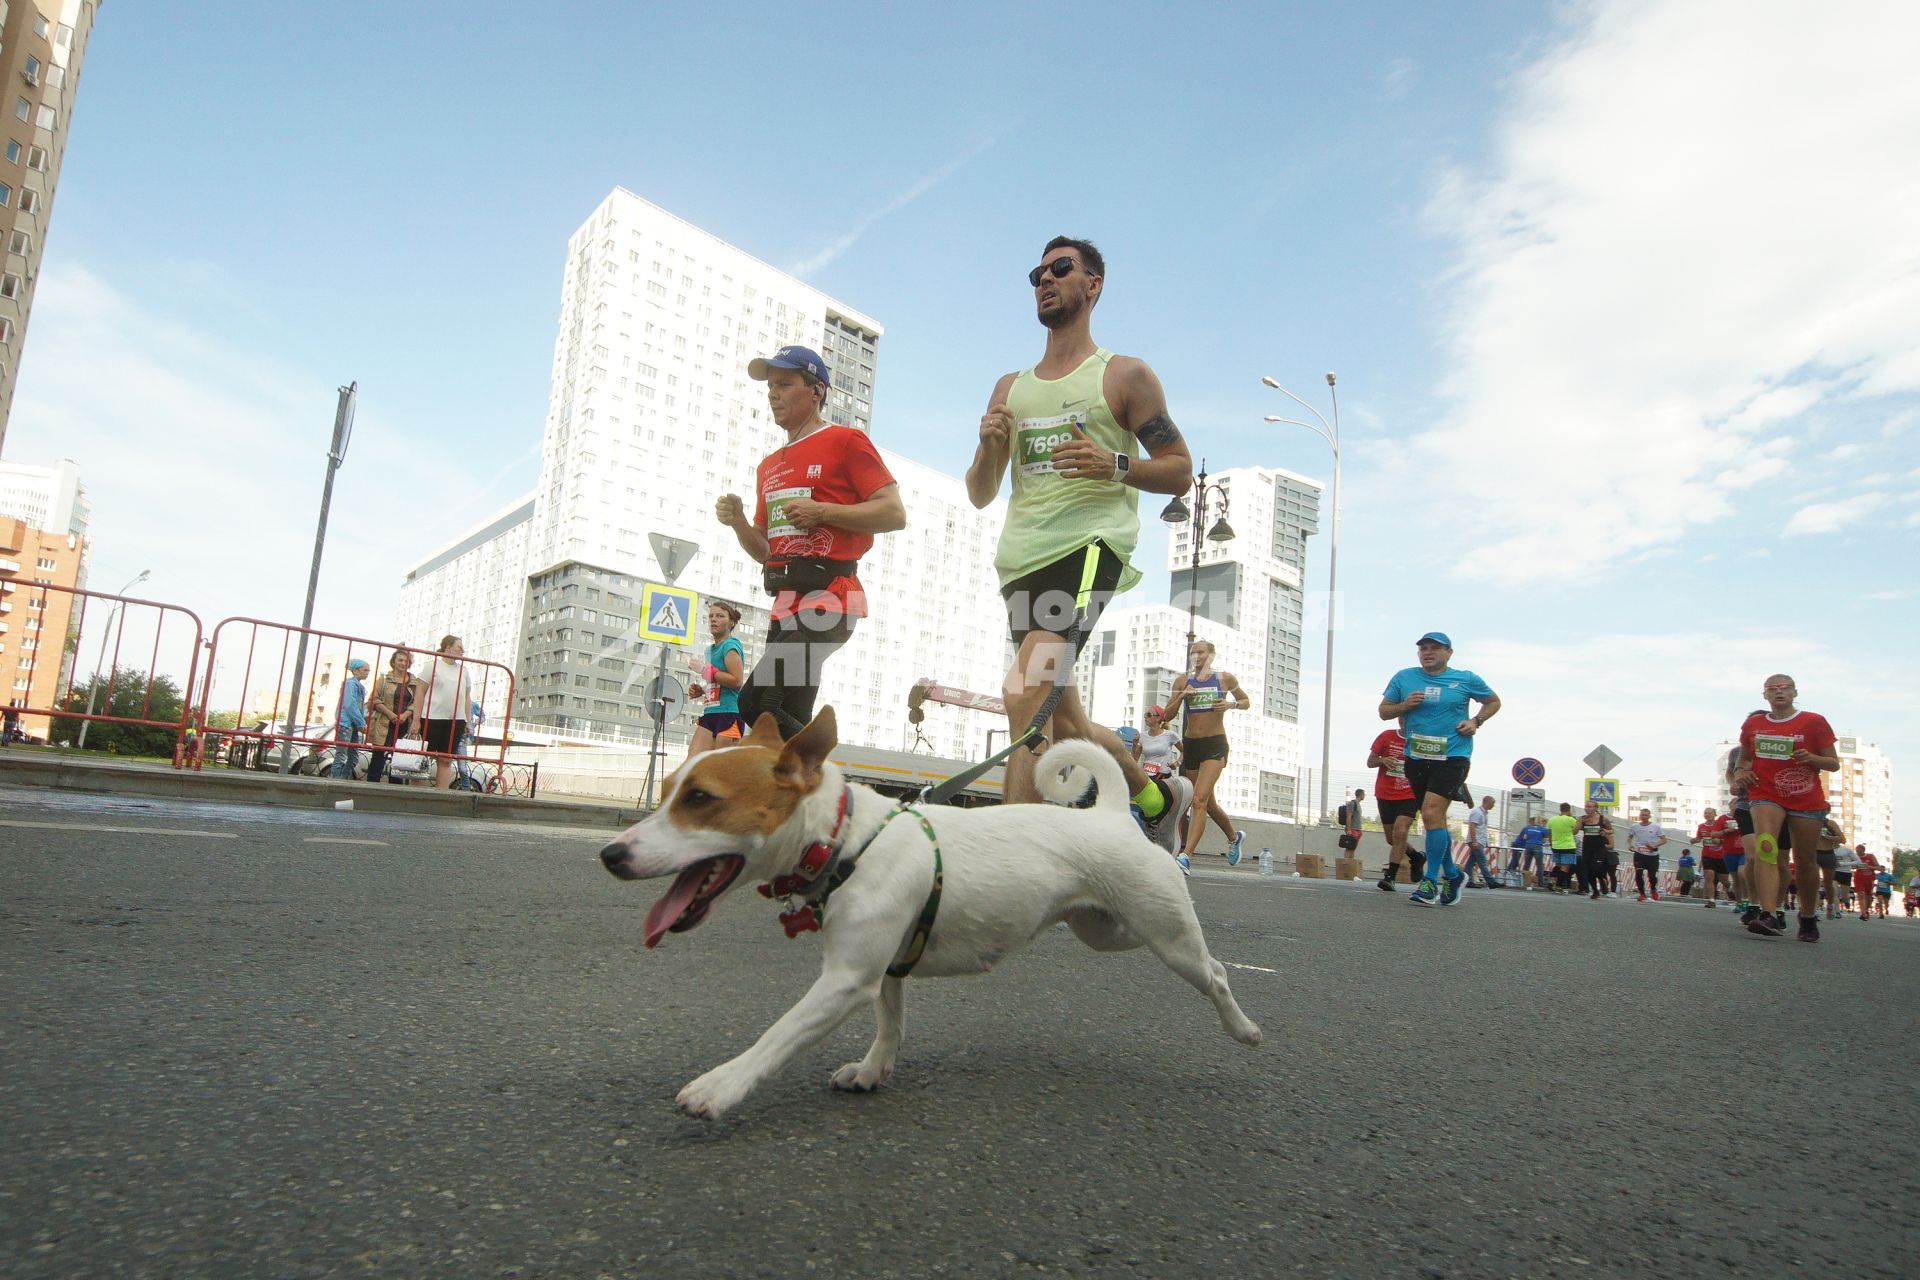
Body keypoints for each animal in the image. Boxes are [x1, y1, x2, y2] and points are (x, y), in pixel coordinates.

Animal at [599, 706, 1259, 1113]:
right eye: (667, 794)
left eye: (701, 799)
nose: (610, 854)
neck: (845, 840)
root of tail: (1110, 813)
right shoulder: (886, 965)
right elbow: (890, 1025)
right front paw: (872, 1071)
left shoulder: (845, 981)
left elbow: (776, 1036)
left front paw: (720, 1086)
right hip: (1104, 930)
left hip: (1164, 934)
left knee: (1216, 971)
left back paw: (1243, 1028)